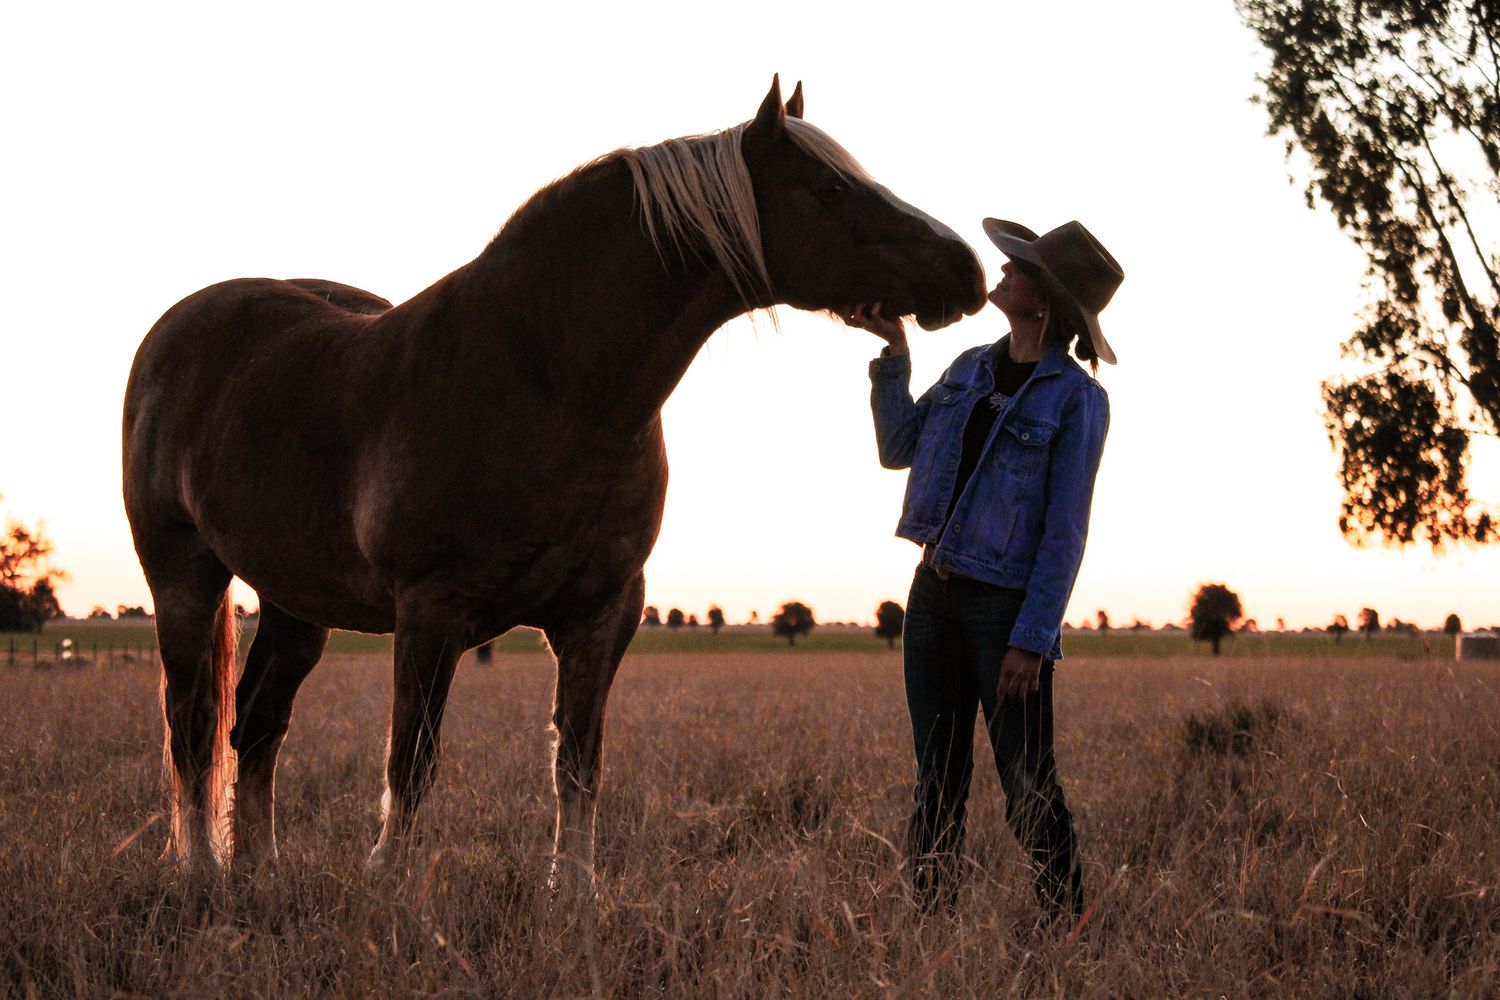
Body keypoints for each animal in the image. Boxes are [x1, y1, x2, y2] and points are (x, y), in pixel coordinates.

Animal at [123, 76, 986, 891]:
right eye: (831, 188)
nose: (968, 269)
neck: (544, 378)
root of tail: (179, 330)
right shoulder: (430, 612)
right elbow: (412, 762)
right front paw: (392, 884)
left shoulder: (602, 613)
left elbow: (578, 762)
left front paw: (574, 895)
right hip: (184, 576)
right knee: (195, 725)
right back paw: (204, 873)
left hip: (297, 601)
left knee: (258, 723)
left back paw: (261, 873)